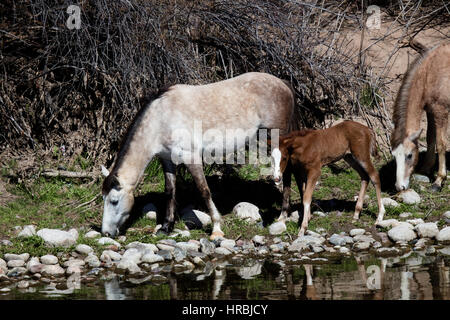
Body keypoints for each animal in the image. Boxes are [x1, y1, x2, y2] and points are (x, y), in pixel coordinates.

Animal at [100, 71, 300, 239]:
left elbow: (204, 190)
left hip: (277, 137)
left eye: (114, 201)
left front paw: (216, 228)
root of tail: (281, 83)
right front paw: (166, 227)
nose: (106, 233)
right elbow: (170, 191)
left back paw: (282, 216)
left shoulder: (191, 158)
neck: (162, 118)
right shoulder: (167, 159)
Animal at [390, 43, 450, 191]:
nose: (400, 187)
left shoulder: (441, 112)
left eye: (409, 155)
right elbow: (430, 139)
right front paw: (425, 169)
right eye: (394, 156)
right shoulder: (431, 112)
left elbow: (441, 144)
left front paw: (438, 181)